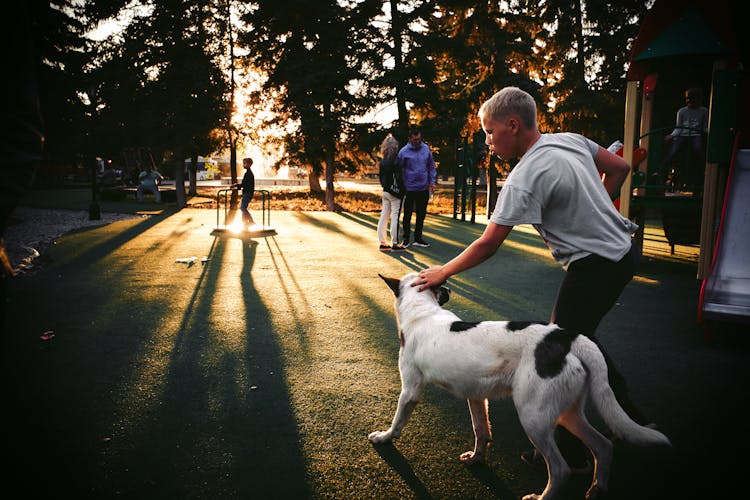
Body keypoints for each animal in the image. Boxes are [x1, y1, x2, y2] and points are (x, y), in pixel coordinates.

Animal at [374, 274, 672, 500]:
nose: (448, 287)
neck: (423, 311)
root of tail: (565, 336)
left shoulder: (410, 390)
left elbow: (398, 421)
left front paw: (384, 437)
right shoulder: (476, 397)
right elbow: (481, 430)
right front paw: (477, 458)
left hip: (534, 418)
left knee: (561, 470)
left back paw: (542, 497)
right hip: (568, 414)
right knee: (603, 446)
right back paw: (598, 488)